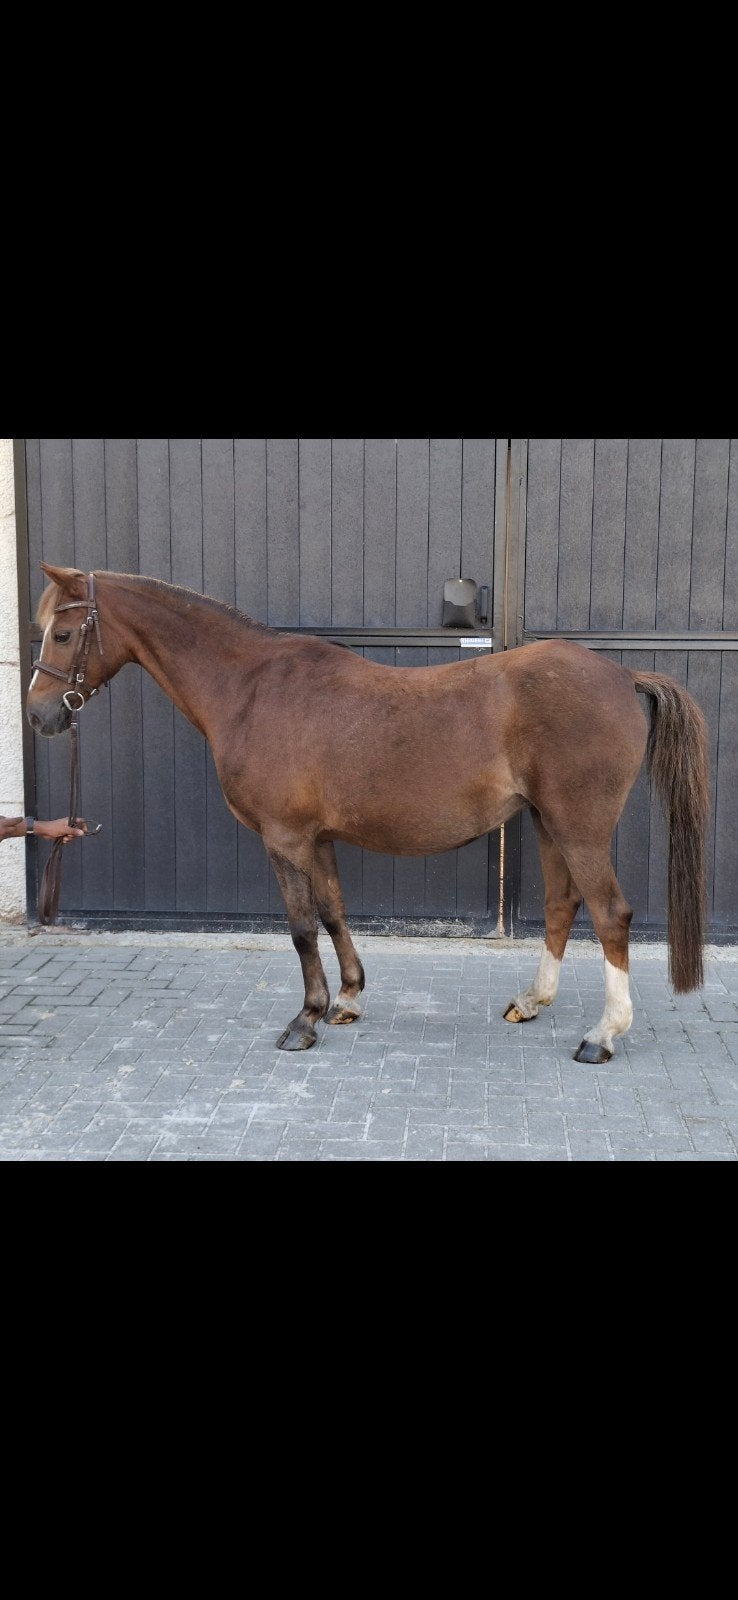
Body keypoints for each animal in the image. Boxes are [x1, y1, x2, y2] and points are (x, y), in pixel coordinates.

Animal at [26, 563, 710, 1064]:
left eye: (62, 634)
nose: (38, 715)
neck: (252, 690)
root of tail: (622, 675)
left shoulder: (285, 839)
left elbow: (301, 927)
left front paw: (304, 1020)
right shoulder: (319, 839)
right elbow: (333, 912)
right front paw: (347, 1000)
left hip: (579, 826)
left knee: (611, 914)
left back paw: (602, 1035)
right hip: (547, 822)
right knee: (563, 905)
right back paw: (532, 1001)